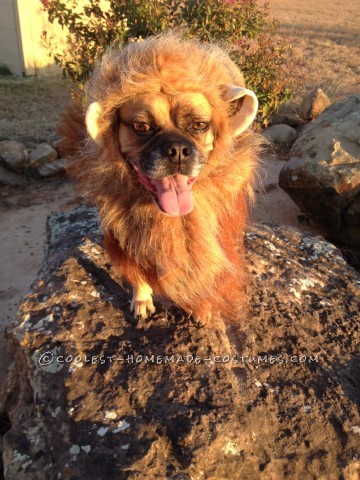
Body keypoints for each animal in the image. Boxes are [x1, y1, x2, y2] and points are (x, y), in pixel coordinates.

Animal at [60, 31, 260, 324]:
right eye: (141, 126)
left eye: (199, 125)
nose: (176, 150)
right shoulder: (122, 239)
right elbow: (136, 273)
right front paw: (142, 299)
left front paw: (201, 307)